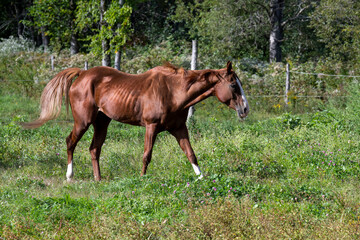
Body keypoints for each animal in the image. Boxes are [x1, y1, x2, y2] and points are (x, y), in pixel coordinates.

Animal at [22, 62, 248, 182]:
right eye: (233, 85)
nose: (245, 109)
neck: (173, 91)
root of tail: (82, 74)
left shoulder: (179, 128)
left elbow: (191, 153)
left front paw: (201, 179)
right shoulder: (151, 126)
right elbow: (147, 155)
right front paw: (142, 179)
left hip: (102, 122)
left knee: (94, 149)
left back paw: (98, 179)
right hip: (83, 121)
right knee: (70, 142)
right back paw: (70, 175)